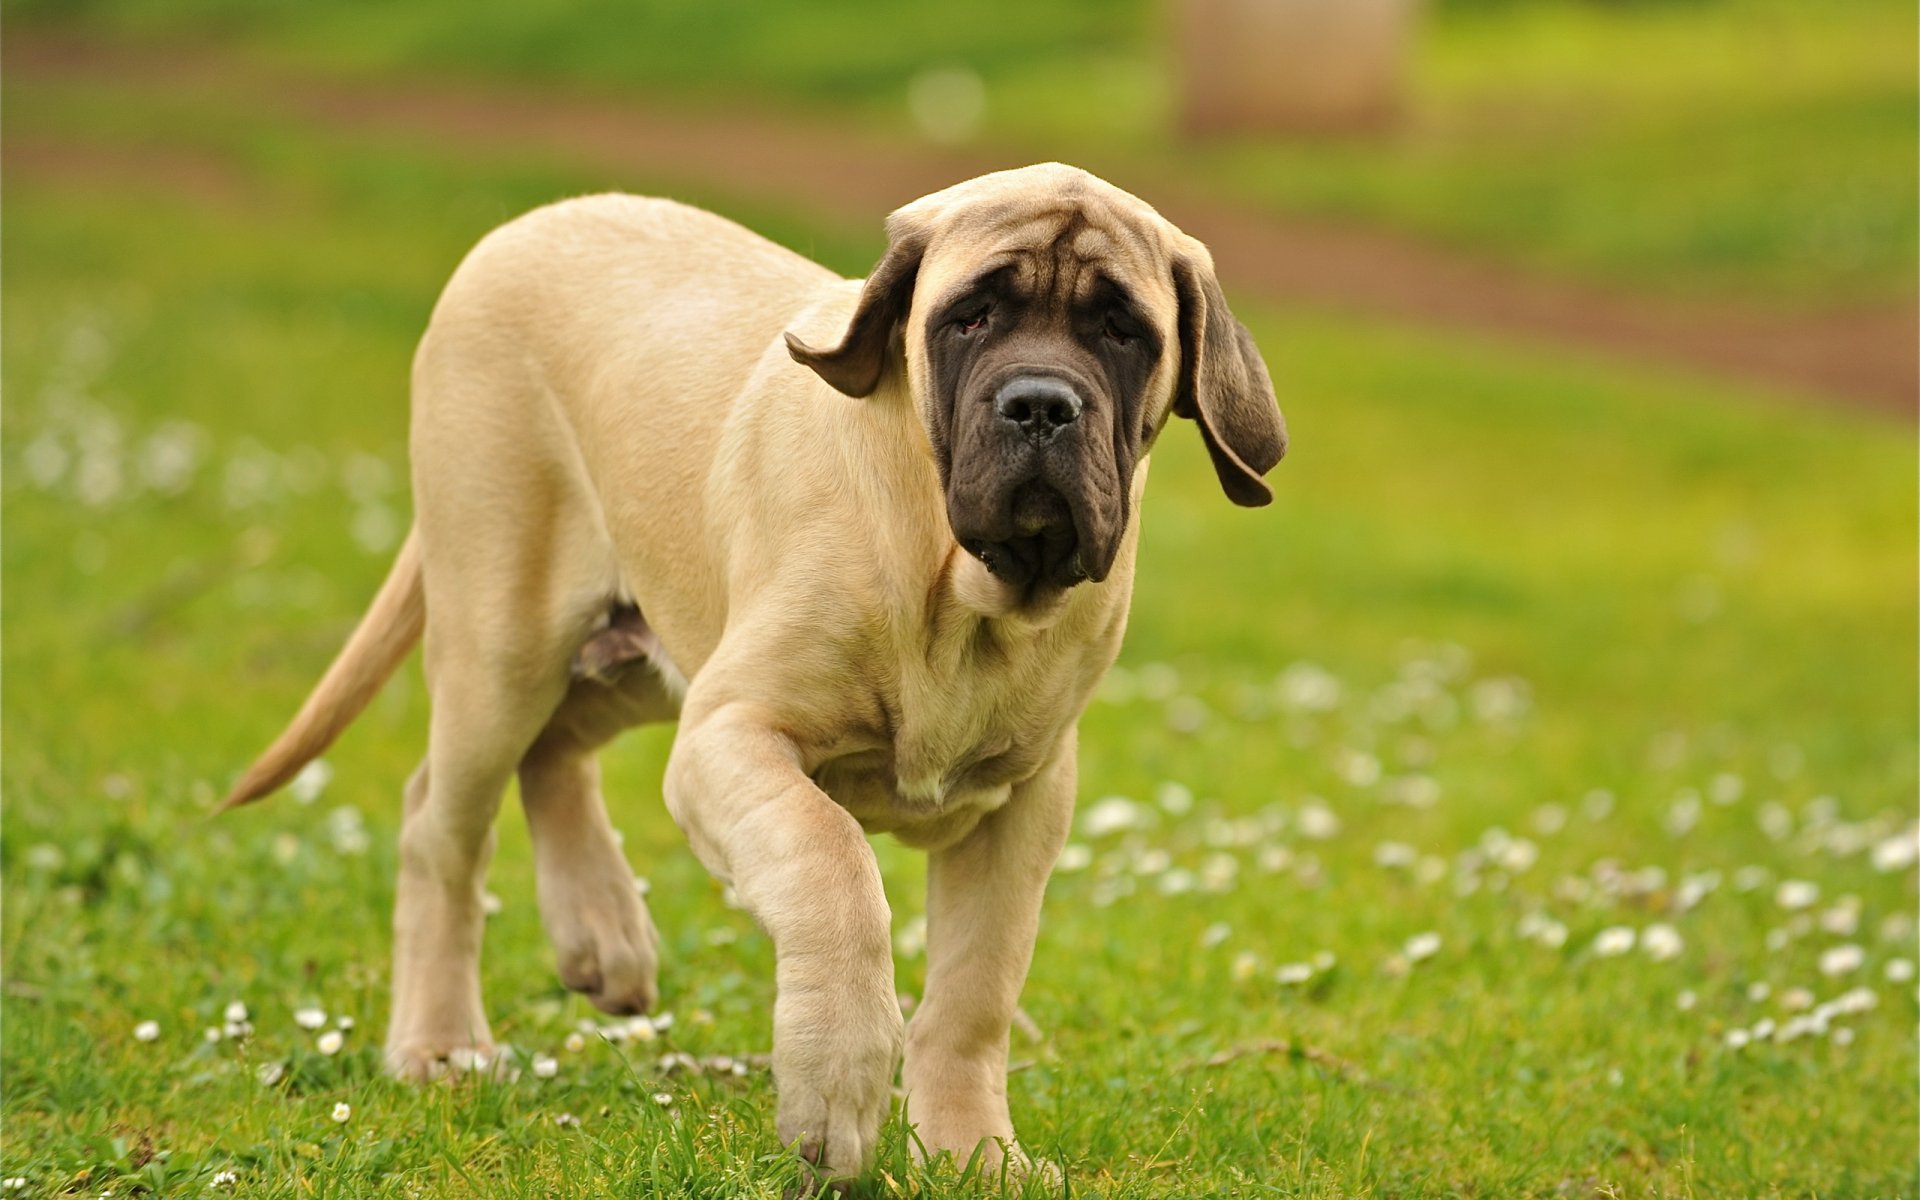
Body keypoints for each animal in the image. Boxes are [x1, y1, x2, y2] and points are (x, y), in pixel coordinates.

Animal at [224, 161, 1282, 1182]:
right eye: (970, 317)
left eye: (1121, 330)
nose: (1040, 405)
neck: (960, 592)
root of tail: (518, 228)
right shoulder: (734, 734)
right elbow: (833, 863)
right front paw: (836, 1088)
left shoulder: (1026, 800)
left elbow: (975, 994)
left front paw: (974, 1151)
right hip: (506, 642)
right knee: (439, 826)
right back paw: (443, 1043)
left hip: (647, 650)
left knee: (552, 750)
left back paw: (600, 931)